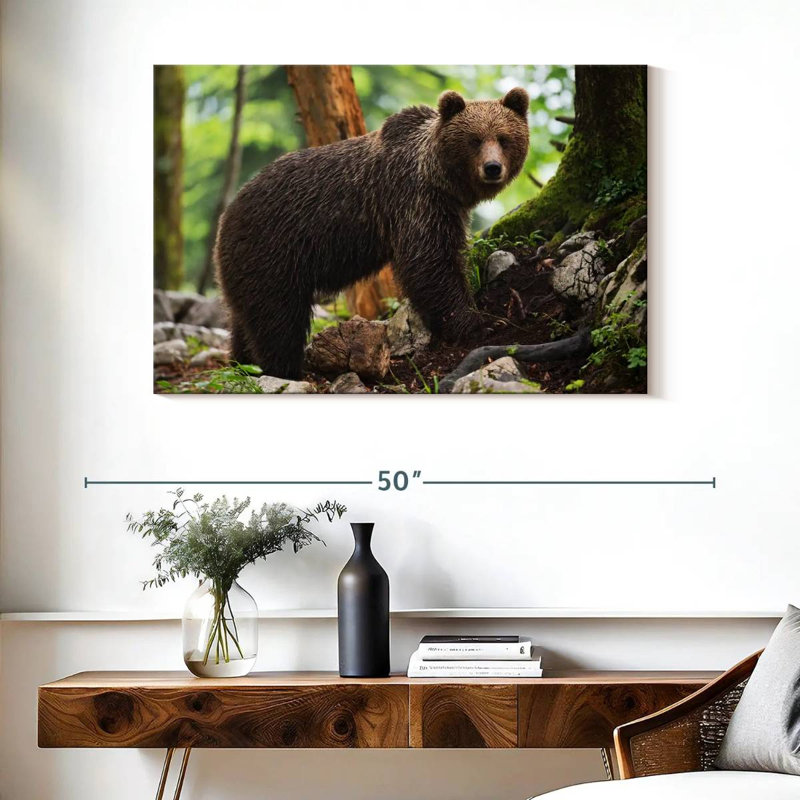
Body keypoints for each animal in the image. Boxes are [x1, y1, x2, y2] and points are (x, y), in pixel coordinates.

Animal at [215, 87, 530, 379]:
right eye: (474, 139)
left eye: (503, 138)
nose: (492, 168)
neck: (440, 178)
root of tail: (226, 216)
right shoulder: (415, 201)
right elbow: (430, 263)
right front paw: (482, 322)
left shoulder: (445, 207)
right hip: (273, 251)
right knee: (278, 319)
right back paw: (285, 368)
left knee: (245, 319)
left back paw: (242, 363)